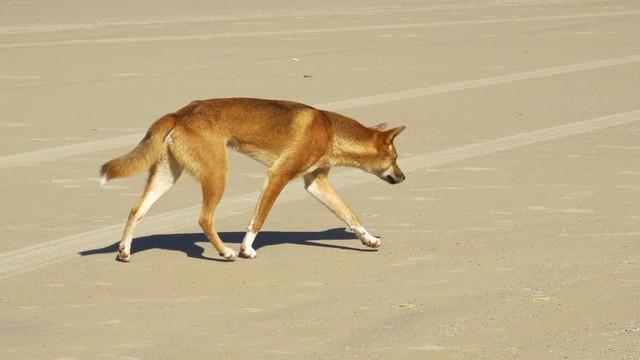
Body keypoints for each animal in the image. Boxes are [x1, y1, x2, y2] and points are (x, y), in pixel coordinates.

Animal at [100, 97, 404, 262]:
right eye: (395, 157)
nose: (403, 177)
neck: (330, 131)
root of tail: (179, 113)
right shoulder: (278, 175)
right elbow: (259, 219)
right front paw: (246, 248)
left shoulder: (315, 183)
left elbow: (349, 214)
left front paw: (369, 239)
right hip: (217, 173)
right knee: (204, 219)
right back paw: (226, 252)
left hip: (167, 175)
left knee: (136, 210)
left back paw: (124, 250)